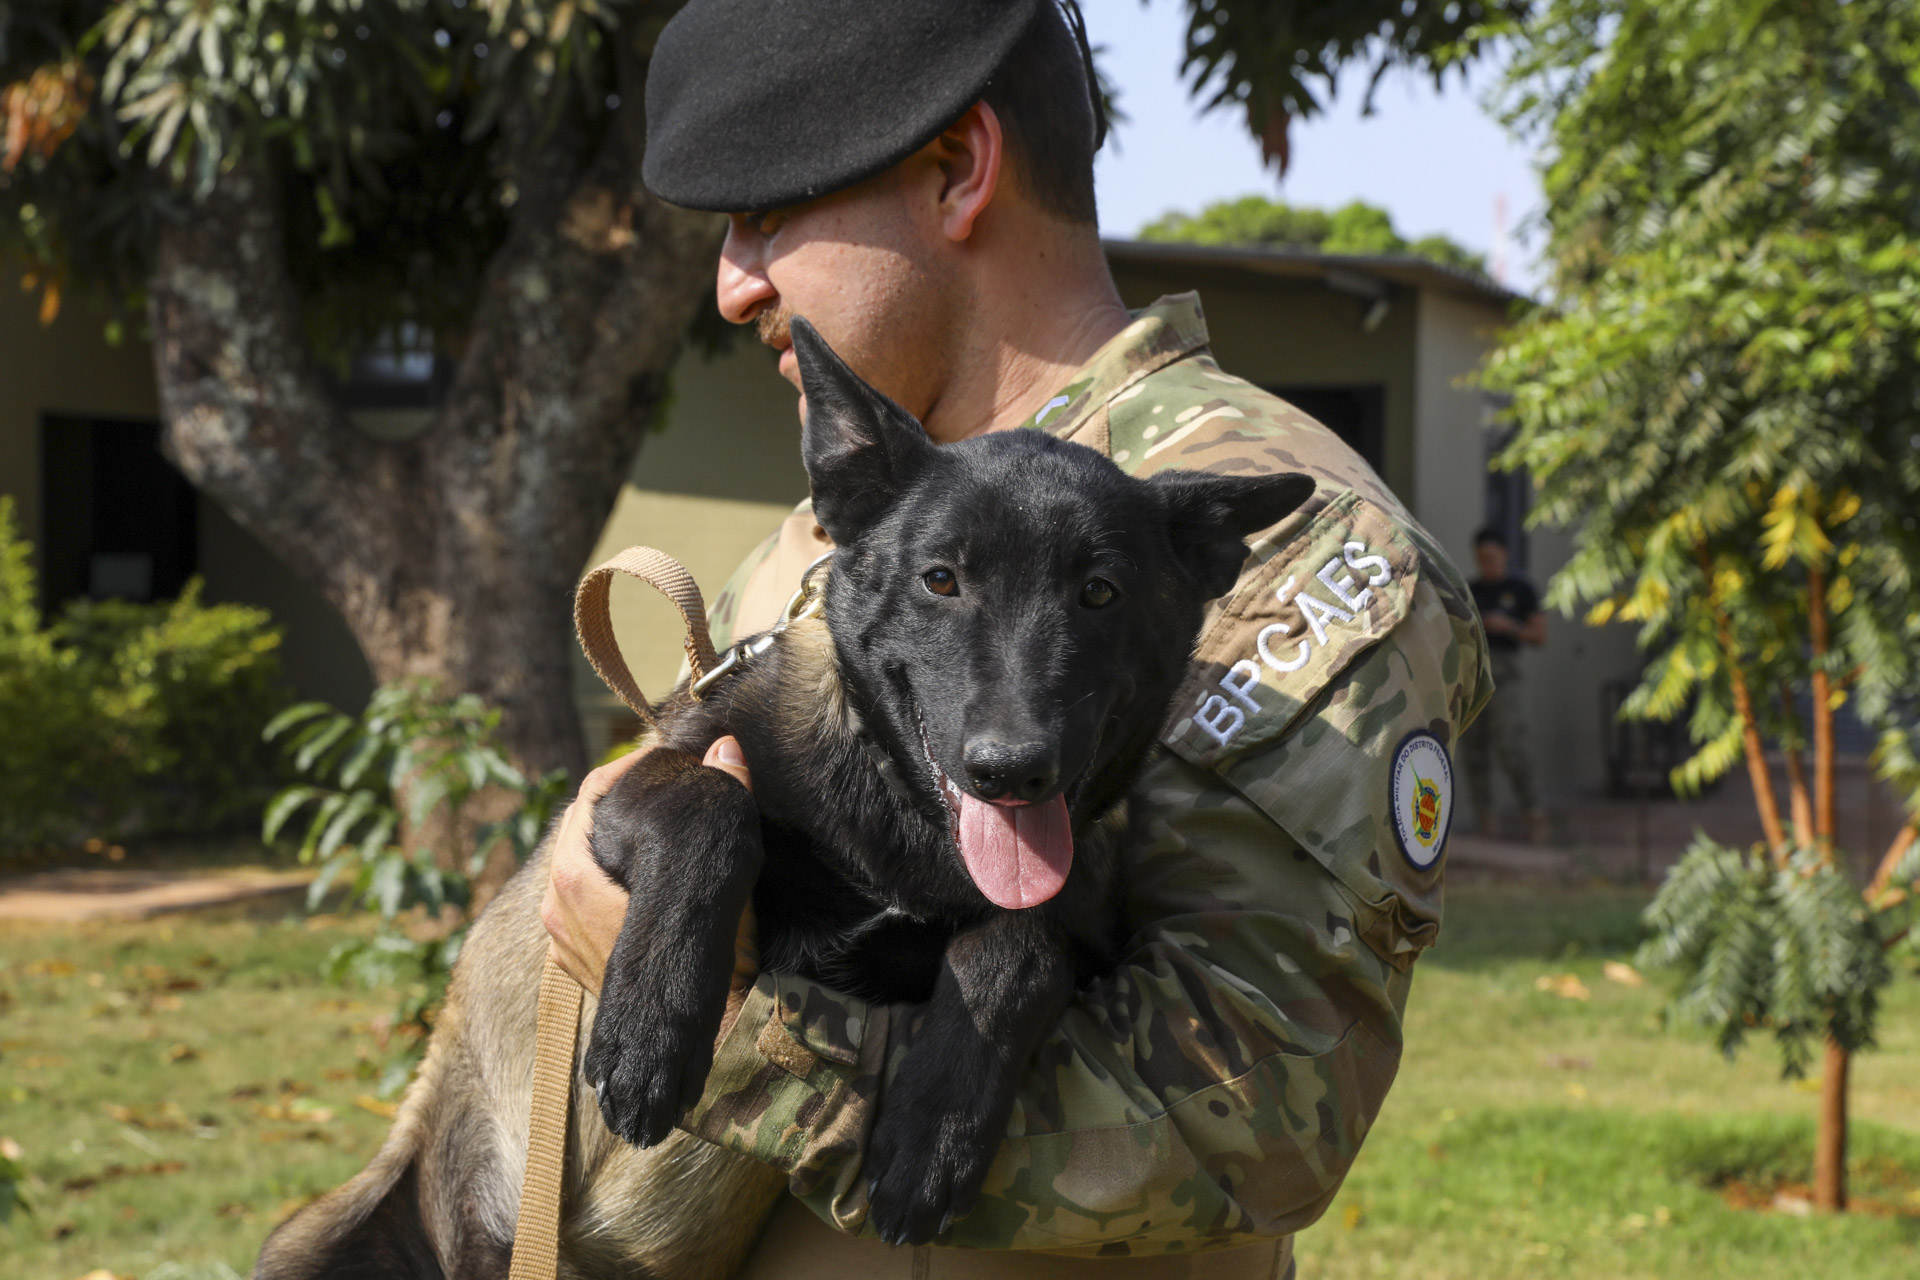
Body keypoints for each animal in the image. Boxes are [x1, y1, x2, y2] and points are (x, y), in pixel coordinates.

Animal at [251, 322, 1305, 1280]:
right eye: (941, 579)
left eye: (1100, 592)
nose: (1011, 769)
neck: (899, 815)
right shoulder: (625, 790)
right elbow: (714, 811)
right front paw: (654, 1025)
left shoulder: (1077, 940)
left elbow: (1022, 946)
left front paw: (938, 1127)